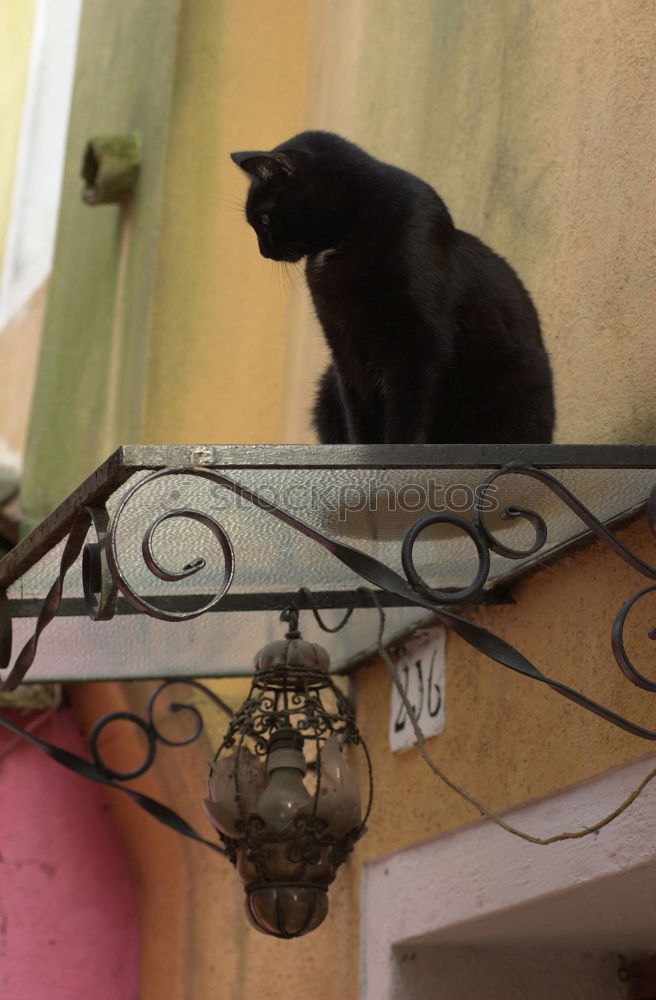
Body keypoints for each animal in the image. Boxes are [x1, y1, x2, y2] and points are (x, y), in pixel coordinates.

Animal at [231, 131, 552, 444]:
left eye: (264, 218)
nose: (264, 251)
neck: (349, 232)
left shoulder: (420, 343)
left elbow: (408, 413)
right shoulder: (345, 345)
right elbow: (359, 412)